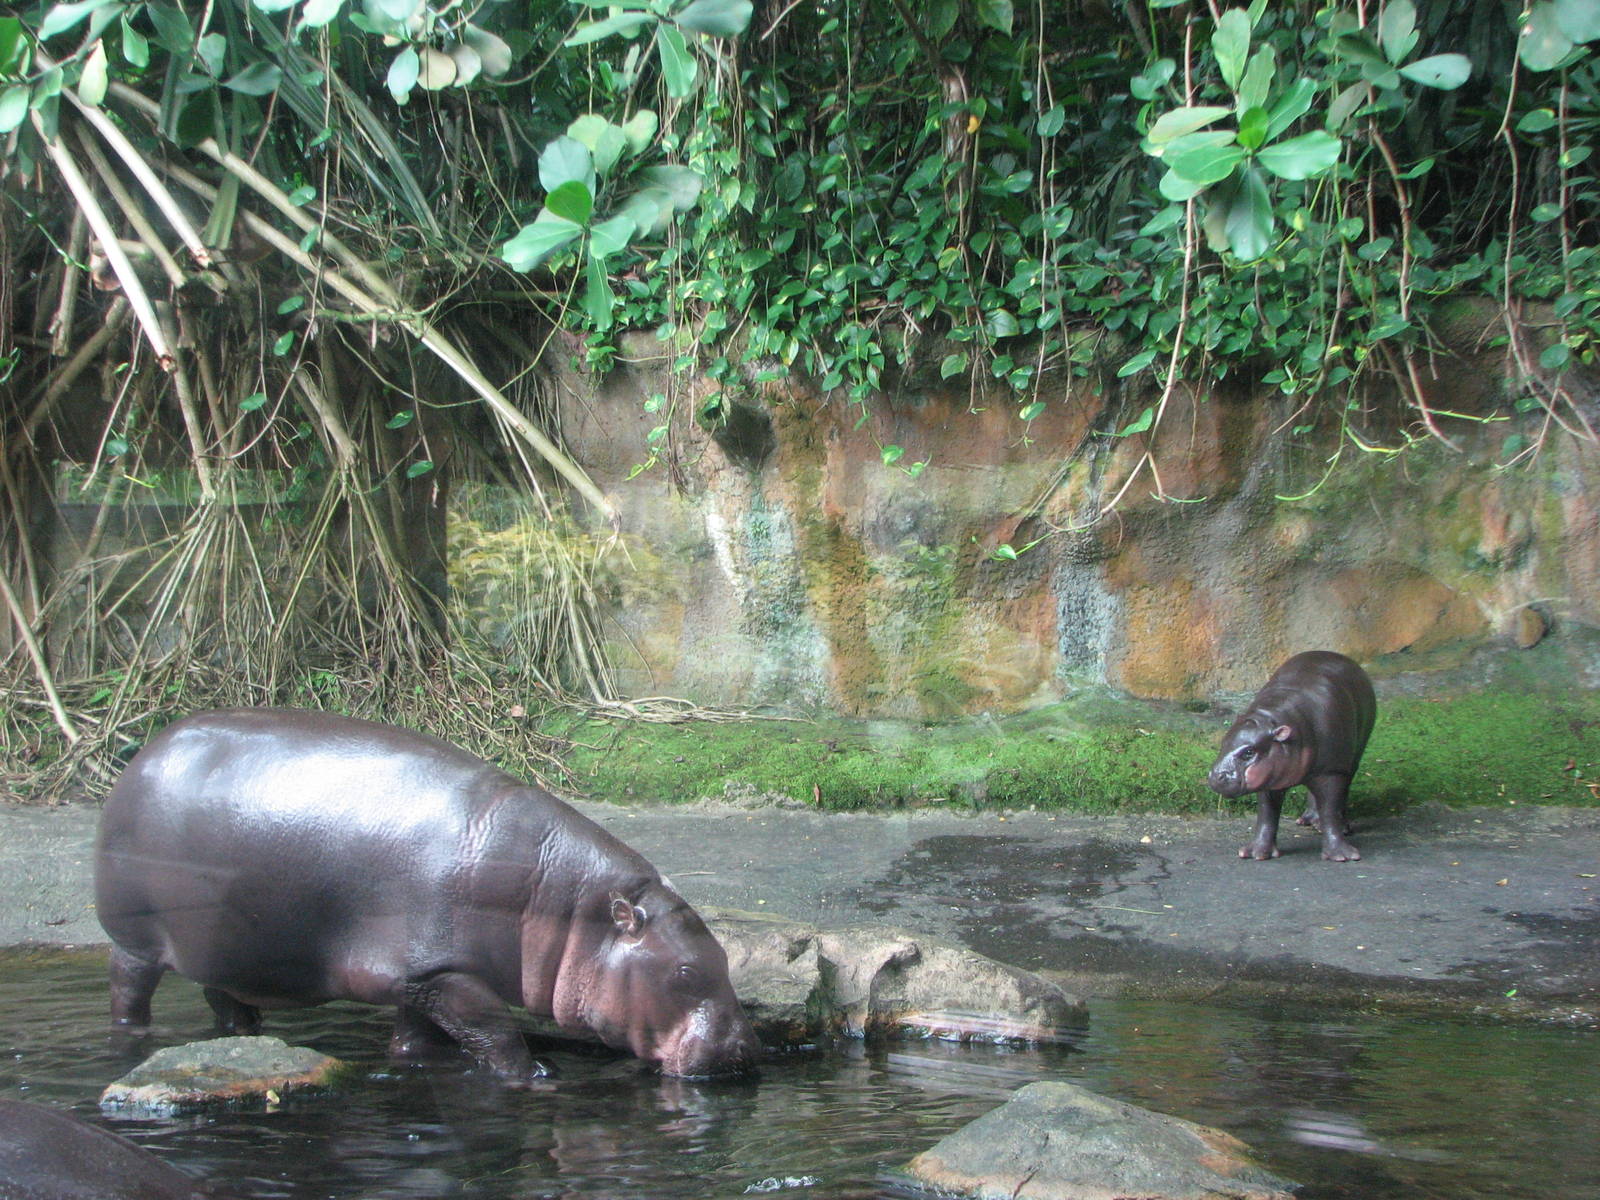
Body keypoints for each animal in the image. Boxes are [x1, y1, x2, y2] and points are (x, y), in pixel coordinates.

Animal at [95, 709, 760, 1081]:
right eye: (683, 973)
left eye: (726, 958)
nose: (744, 1048)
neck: (565, 905)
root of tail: (144, 752)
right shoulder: (445, 974)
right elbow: (494, 1029)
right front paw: (536, 1073)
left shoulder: (421, 975)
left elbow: (415, 1038)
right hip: (134, 937)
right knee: (129, 990)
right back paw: (134, 1034)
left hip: (227, 943)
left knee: (221, 992)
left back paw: (249, 1034)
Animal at [1206, 651, 1376, 862]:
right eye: (1223, 742)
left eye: (1249, 752)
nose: (1216, 776)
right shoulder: (1270, 776)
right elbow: (1267, 814)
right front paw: (1255, 854)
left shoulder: (1332, 771)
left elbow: (1329, 810)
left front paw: (1342, 856)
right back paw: (1307, 821)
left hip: (1352, 755)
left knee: (1344, 788)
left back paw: (1340, 827)